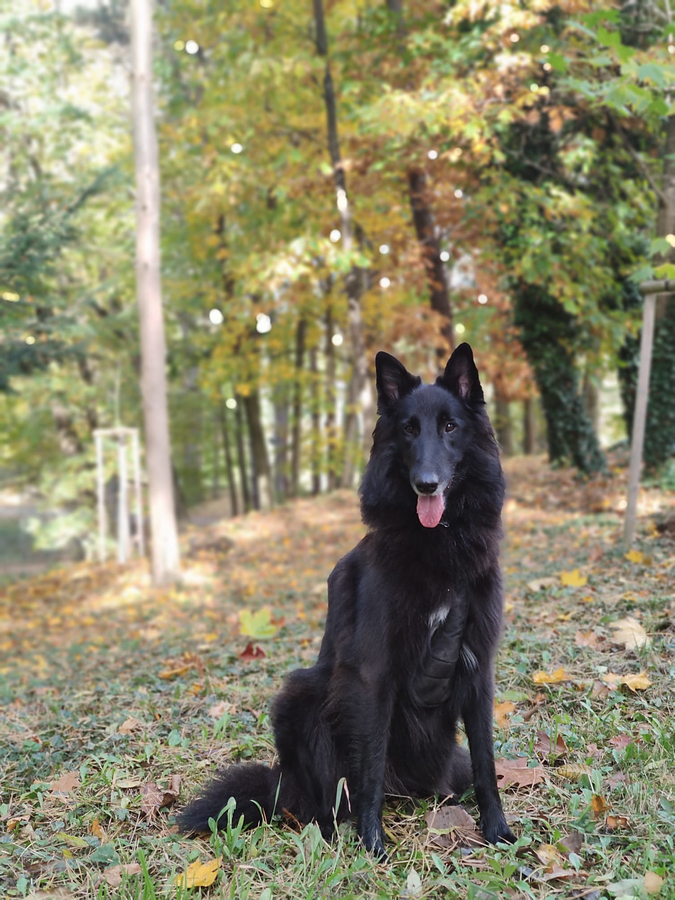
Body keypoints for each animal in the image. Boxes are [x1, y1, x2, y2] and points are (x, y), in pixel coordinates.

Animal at [179, 343, 515, 856]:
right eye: (408, 429)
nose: (426, 483)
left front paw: (496, 829)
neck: (438, 545)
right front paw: (372, 840)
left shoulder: (478, 668)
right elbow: (369, 765)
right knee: (325, 796)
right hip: (300, 697)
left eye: (450, 427)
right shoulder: (374, 674)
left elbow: (486, 762)